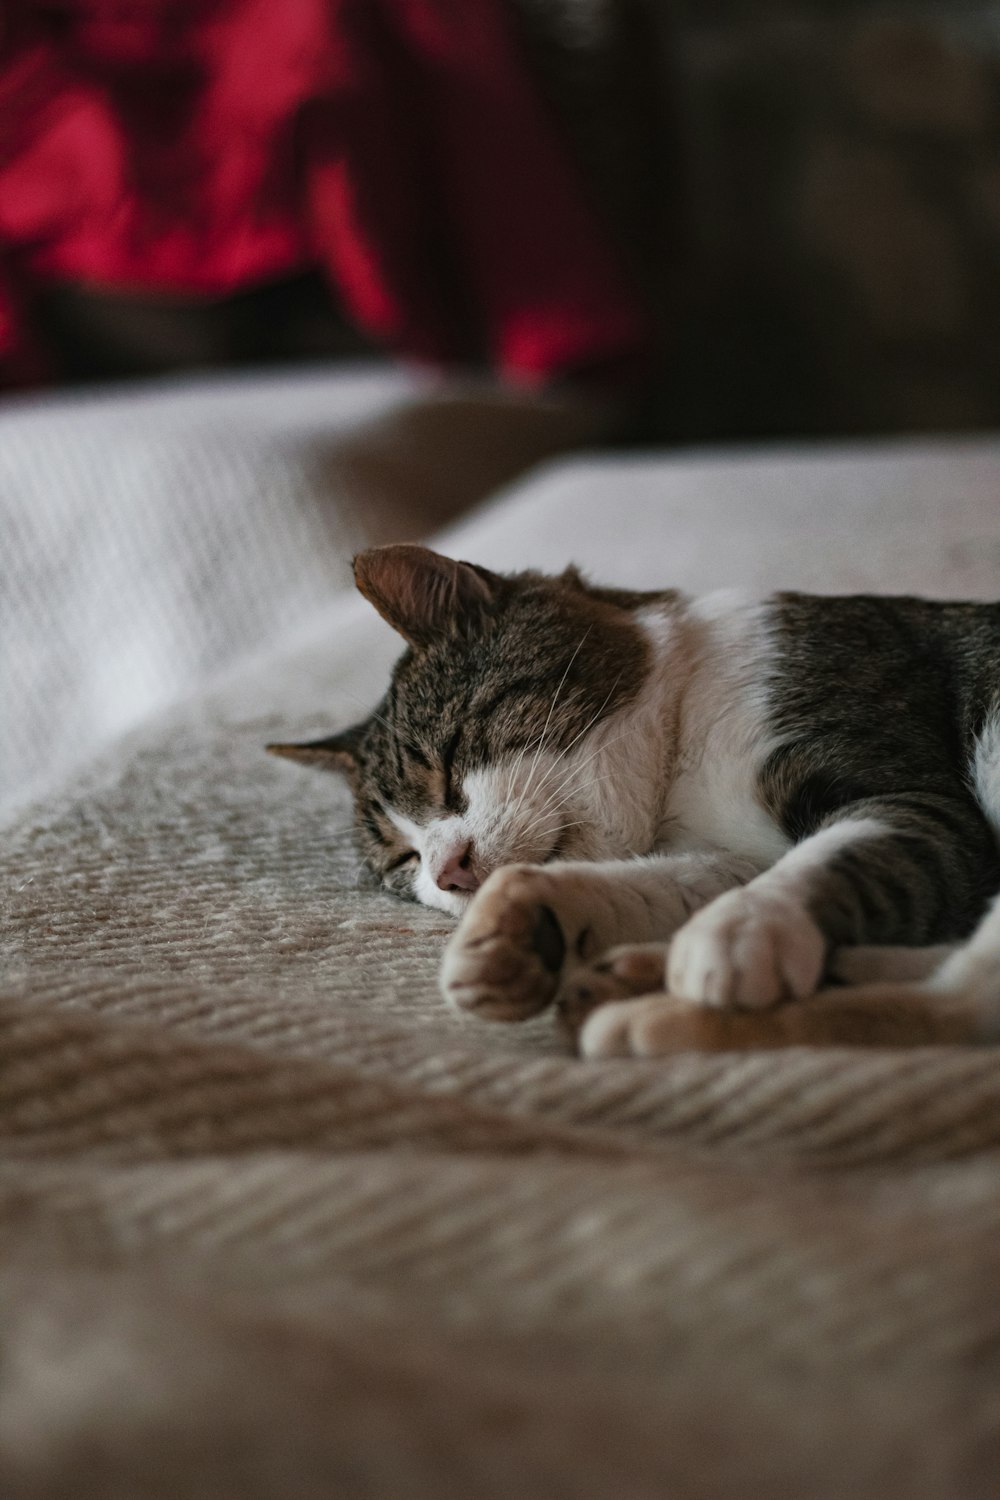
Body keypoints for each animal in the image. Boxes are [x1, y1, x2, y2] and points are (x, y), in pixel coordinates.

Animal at [268, 543, 1000, 1056]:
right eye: (404, 861)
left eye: (445, 765)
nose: (448, 871)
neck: (683, 741)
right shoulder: (727, 853)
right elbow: (666, 886)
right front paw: (518, 931)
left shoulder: (918, 798)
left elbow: (828, 858)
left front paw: (738, 931)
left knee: (964, 1003)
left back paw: (645, 1015)